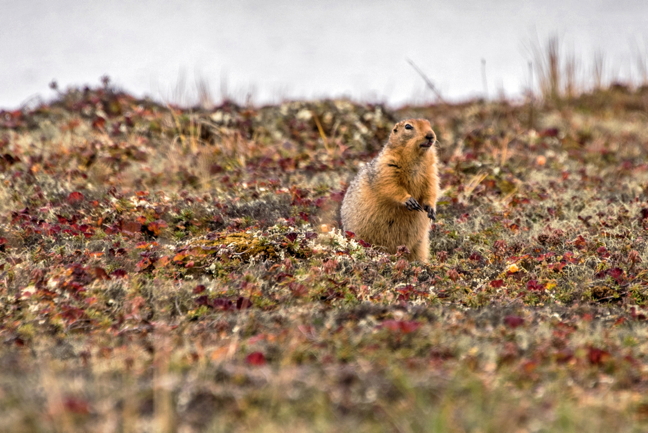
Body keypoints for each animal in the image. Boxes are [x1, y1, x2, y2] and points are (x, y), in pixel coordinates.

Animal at [340, 118, 439, 262]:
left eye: (429, 124)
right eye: (408, 126)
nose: (431, 135)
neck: (417, 157)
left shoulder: (431, 170)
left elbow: (432, 187)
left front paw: (431, 209)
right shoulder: (387, 165)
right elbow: (390, 184)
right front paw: (409, 200)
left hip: (420, 245)